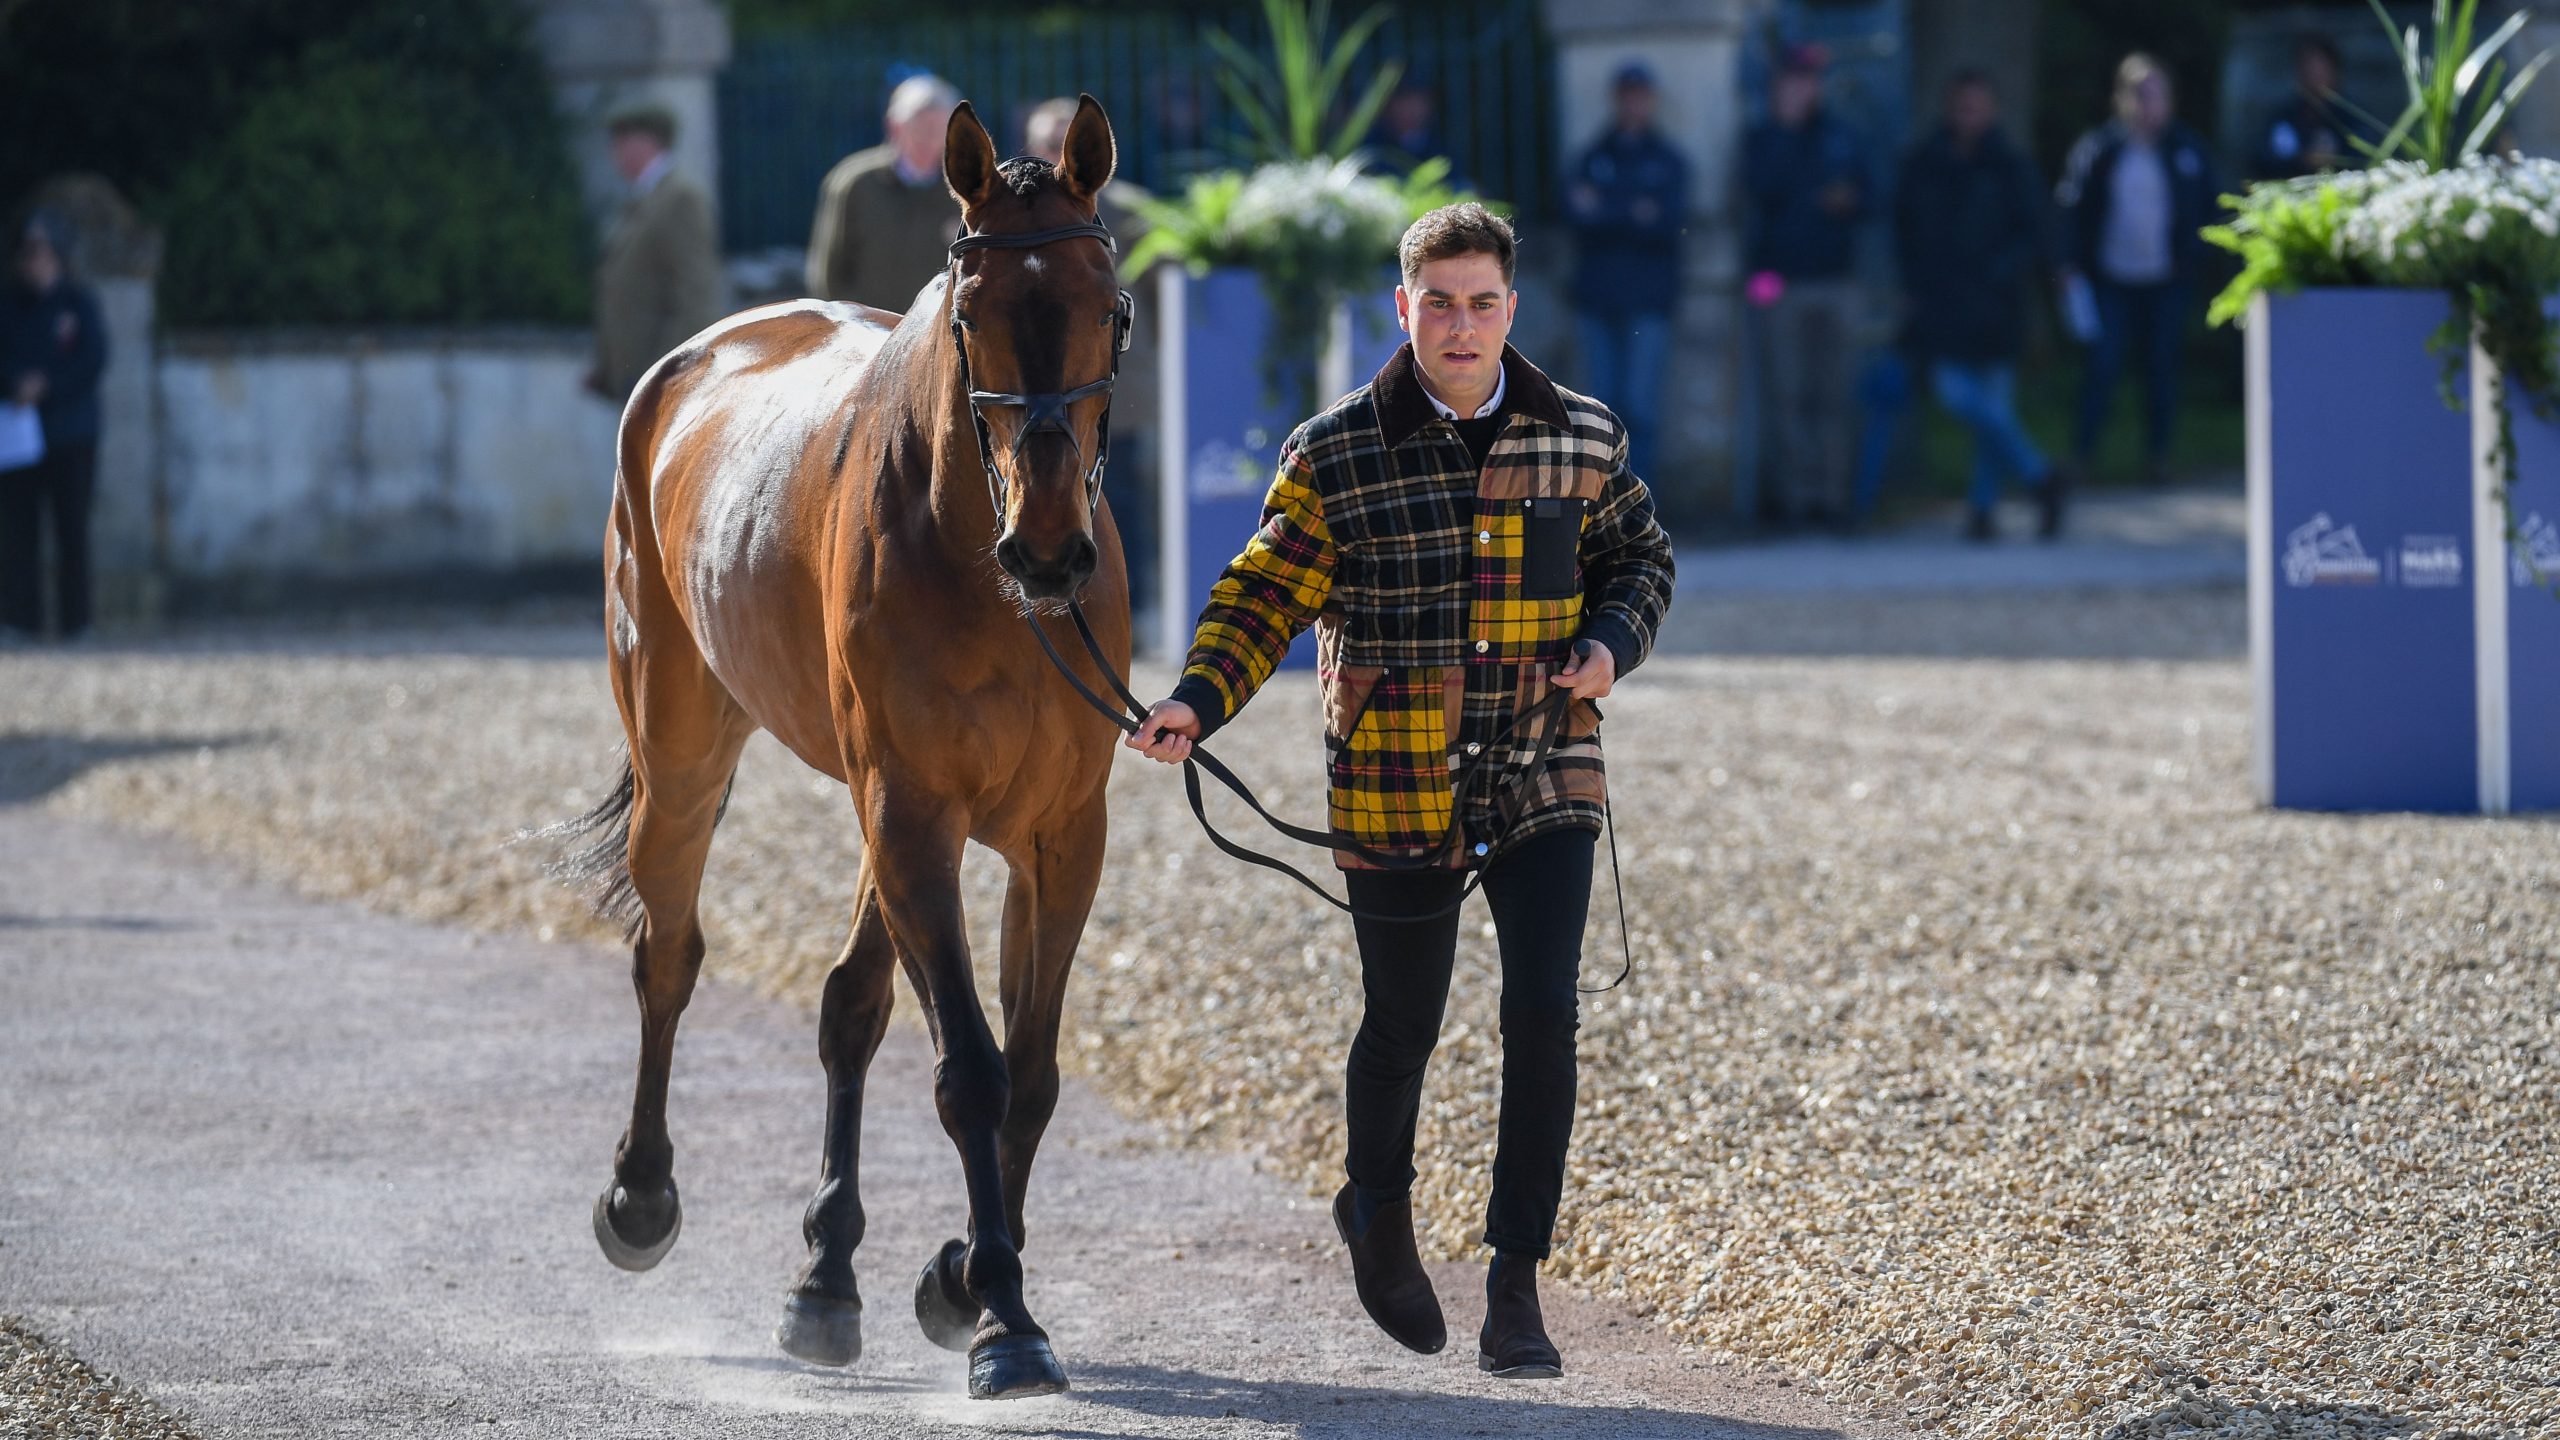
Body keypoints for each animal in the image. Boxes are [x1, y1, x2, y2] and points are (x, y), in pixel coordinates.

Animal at [545, 96, 1133, 1399]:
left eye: (1111, 309)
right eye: (970, 321)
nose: (1051, 552)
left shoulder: (1057, 832)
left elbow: (1030, 1071)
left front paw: (960, 1276)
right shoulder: (914, 811)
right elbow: (971, 1069)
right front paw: (1003, 1317)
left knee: (850, 1004)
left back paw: (827, 1278)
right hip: (687, 753)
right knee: (669, 949)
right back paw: (643, 1196)